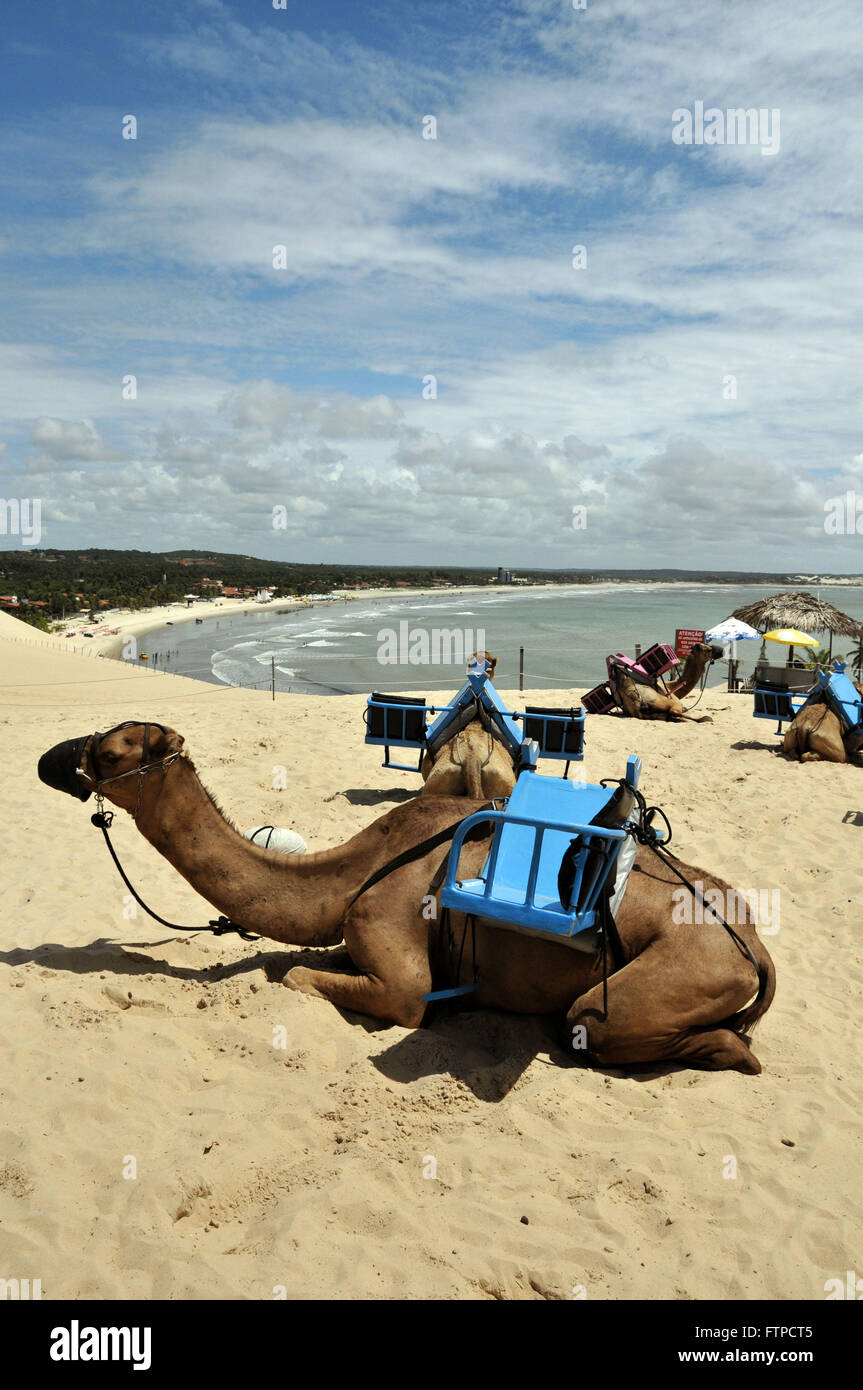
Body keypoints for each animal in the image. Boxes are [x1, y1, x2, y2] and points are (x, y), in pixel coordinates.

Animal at [35, 722, 772, 1067]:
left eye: (112, 751)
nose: (51, 759)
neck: (356, 869)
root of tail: (756, 949)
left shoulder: (400, 971)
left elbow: (301, 977)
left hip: (670, 974)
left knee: (597, 1021)